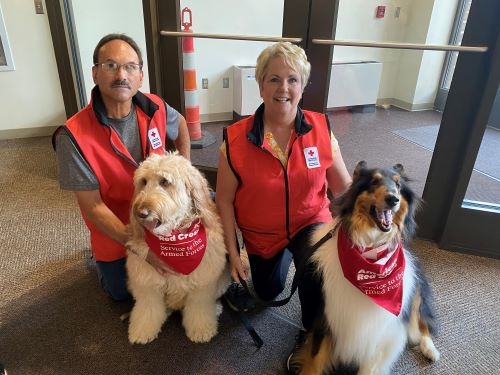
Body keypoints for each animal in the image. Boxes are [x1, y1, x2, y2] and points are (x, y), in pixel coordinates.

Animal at [125, 152, 230, 344]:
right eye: (143, 181)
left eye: (164, 181)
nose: (141, 213)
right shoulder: (146, 282)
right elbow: (147, 309)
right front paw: (142, 330)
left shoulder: (203, 282)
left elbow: (199, 309)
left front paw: (201, 330)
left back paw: (216, 308)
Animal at [294, 162, 440, 375]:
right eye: (374, 181)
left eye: (398, 185)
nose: (393, 199)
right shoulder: (325, 317)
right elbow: (315, 360)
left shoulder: (380, 333)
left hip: (415, 293)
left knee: (421, 324)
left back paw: (430, 349)